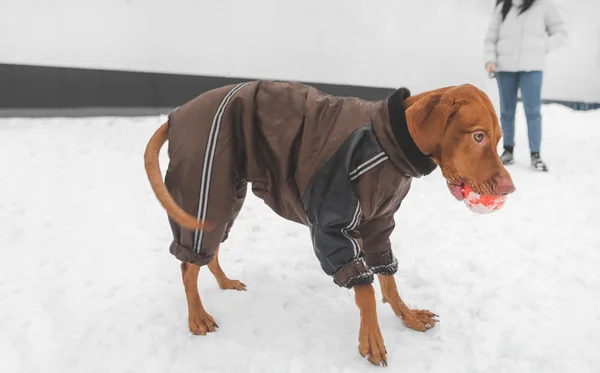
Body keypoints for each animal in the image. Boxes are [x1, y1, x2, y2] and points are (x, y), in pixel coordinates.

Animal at [143, 80, 512, 364]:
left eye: (497, 139)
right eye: (478, 136)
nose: (511, 188)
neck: (388, 141)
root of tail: (176, 115)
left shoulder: (378, 225)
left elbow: (388, 281)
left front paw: (407, 316)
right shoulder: (332, 225)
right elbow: (365, 290)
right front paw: (371, 340)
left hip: (227, 196)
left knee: (211, 249)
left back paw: (224, 282)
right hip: (205, 190)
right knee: (188, 265)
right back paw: (196, 317)